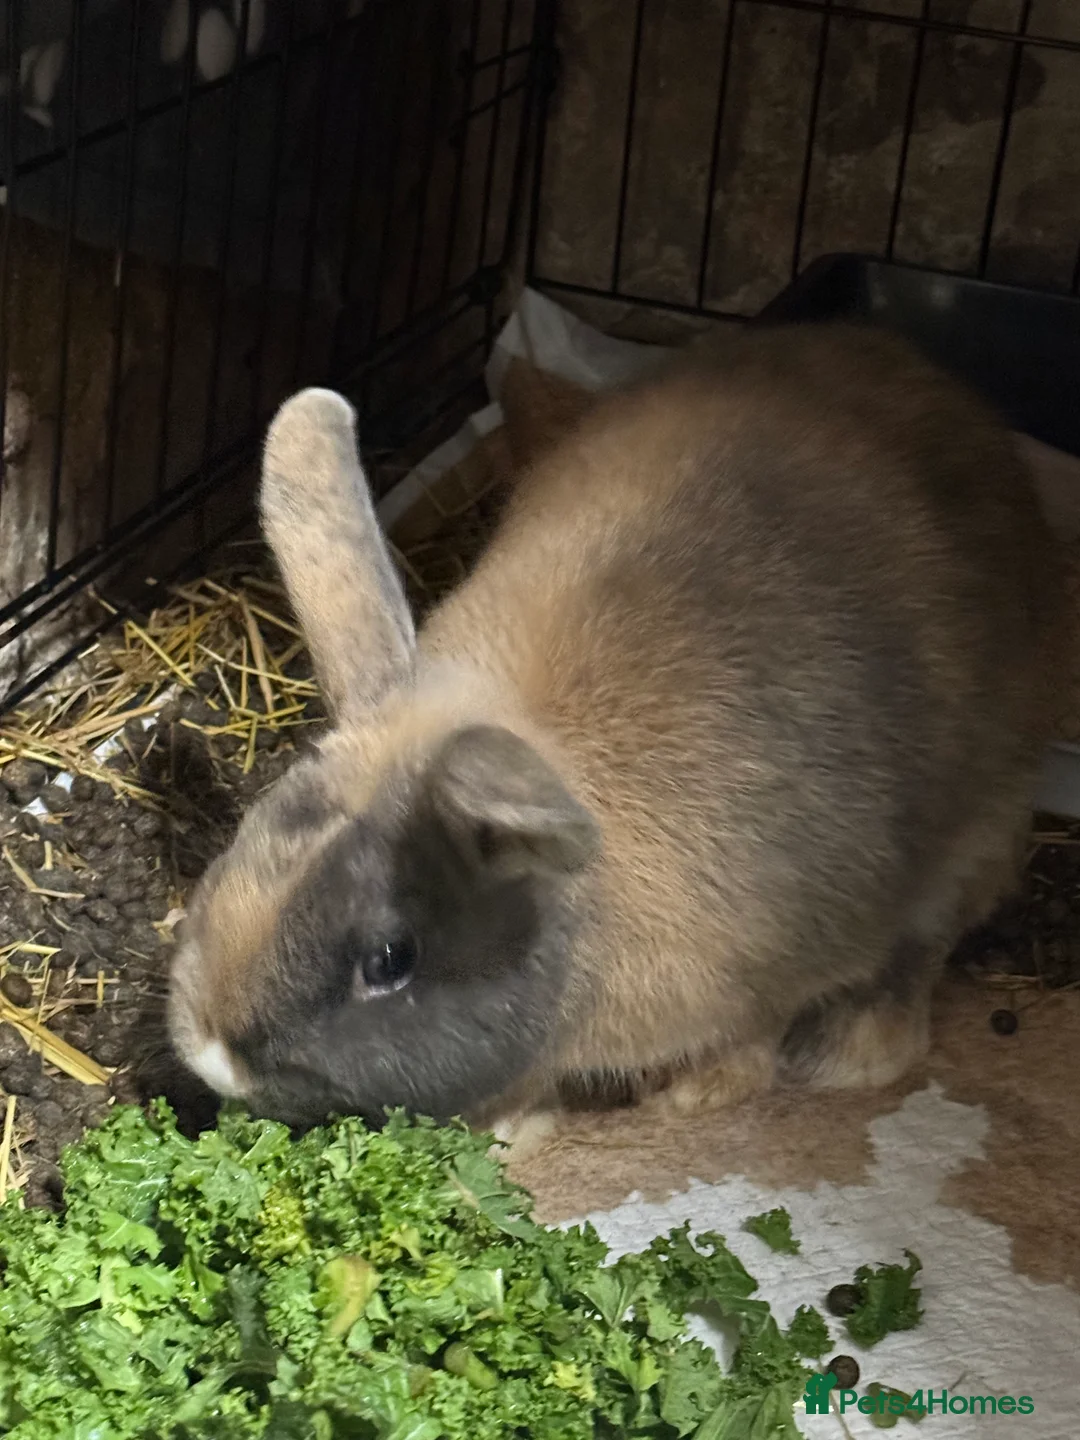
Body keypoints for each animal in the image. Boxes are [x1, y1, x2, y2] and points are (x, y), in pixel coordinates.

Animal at [167, 321, 1062, 1149]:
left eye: (390, 958)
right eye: (245, 836)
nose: (214, 1056)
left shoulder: (778, 965)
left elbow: (749, 1043)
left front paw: (689, 1097)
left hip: (983, 822)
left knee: (928, 938)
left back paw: (854, 1052)